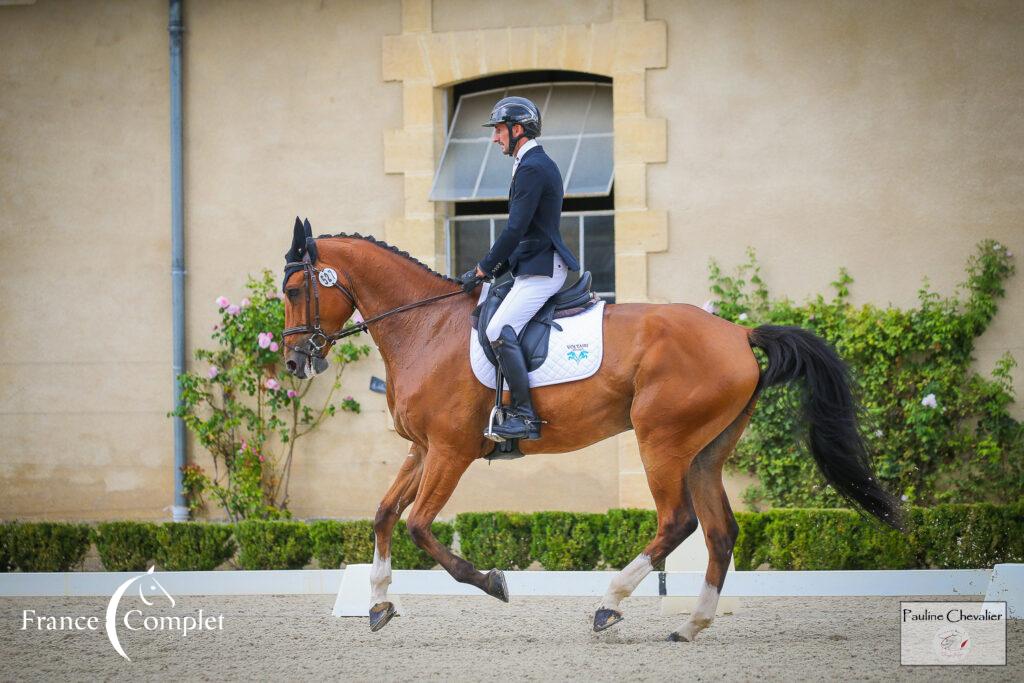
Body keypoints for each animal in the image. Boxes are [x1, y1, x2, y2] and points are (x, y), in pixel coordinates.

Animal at [282, 218, 905, 643]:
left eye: (292, 291)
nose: (293, 362)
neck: (424, 326)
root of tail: (738, 332)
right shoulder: (423, 448)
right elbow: (384, 514)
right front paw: (378, 604)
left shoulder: (451, 451)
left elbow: (418, 527)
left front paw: (492, 582)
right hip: (705, 451)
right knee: (719, 531)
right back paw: (691, 625)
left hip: (661, 442)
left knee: (677, 522)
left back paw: (611, 602)